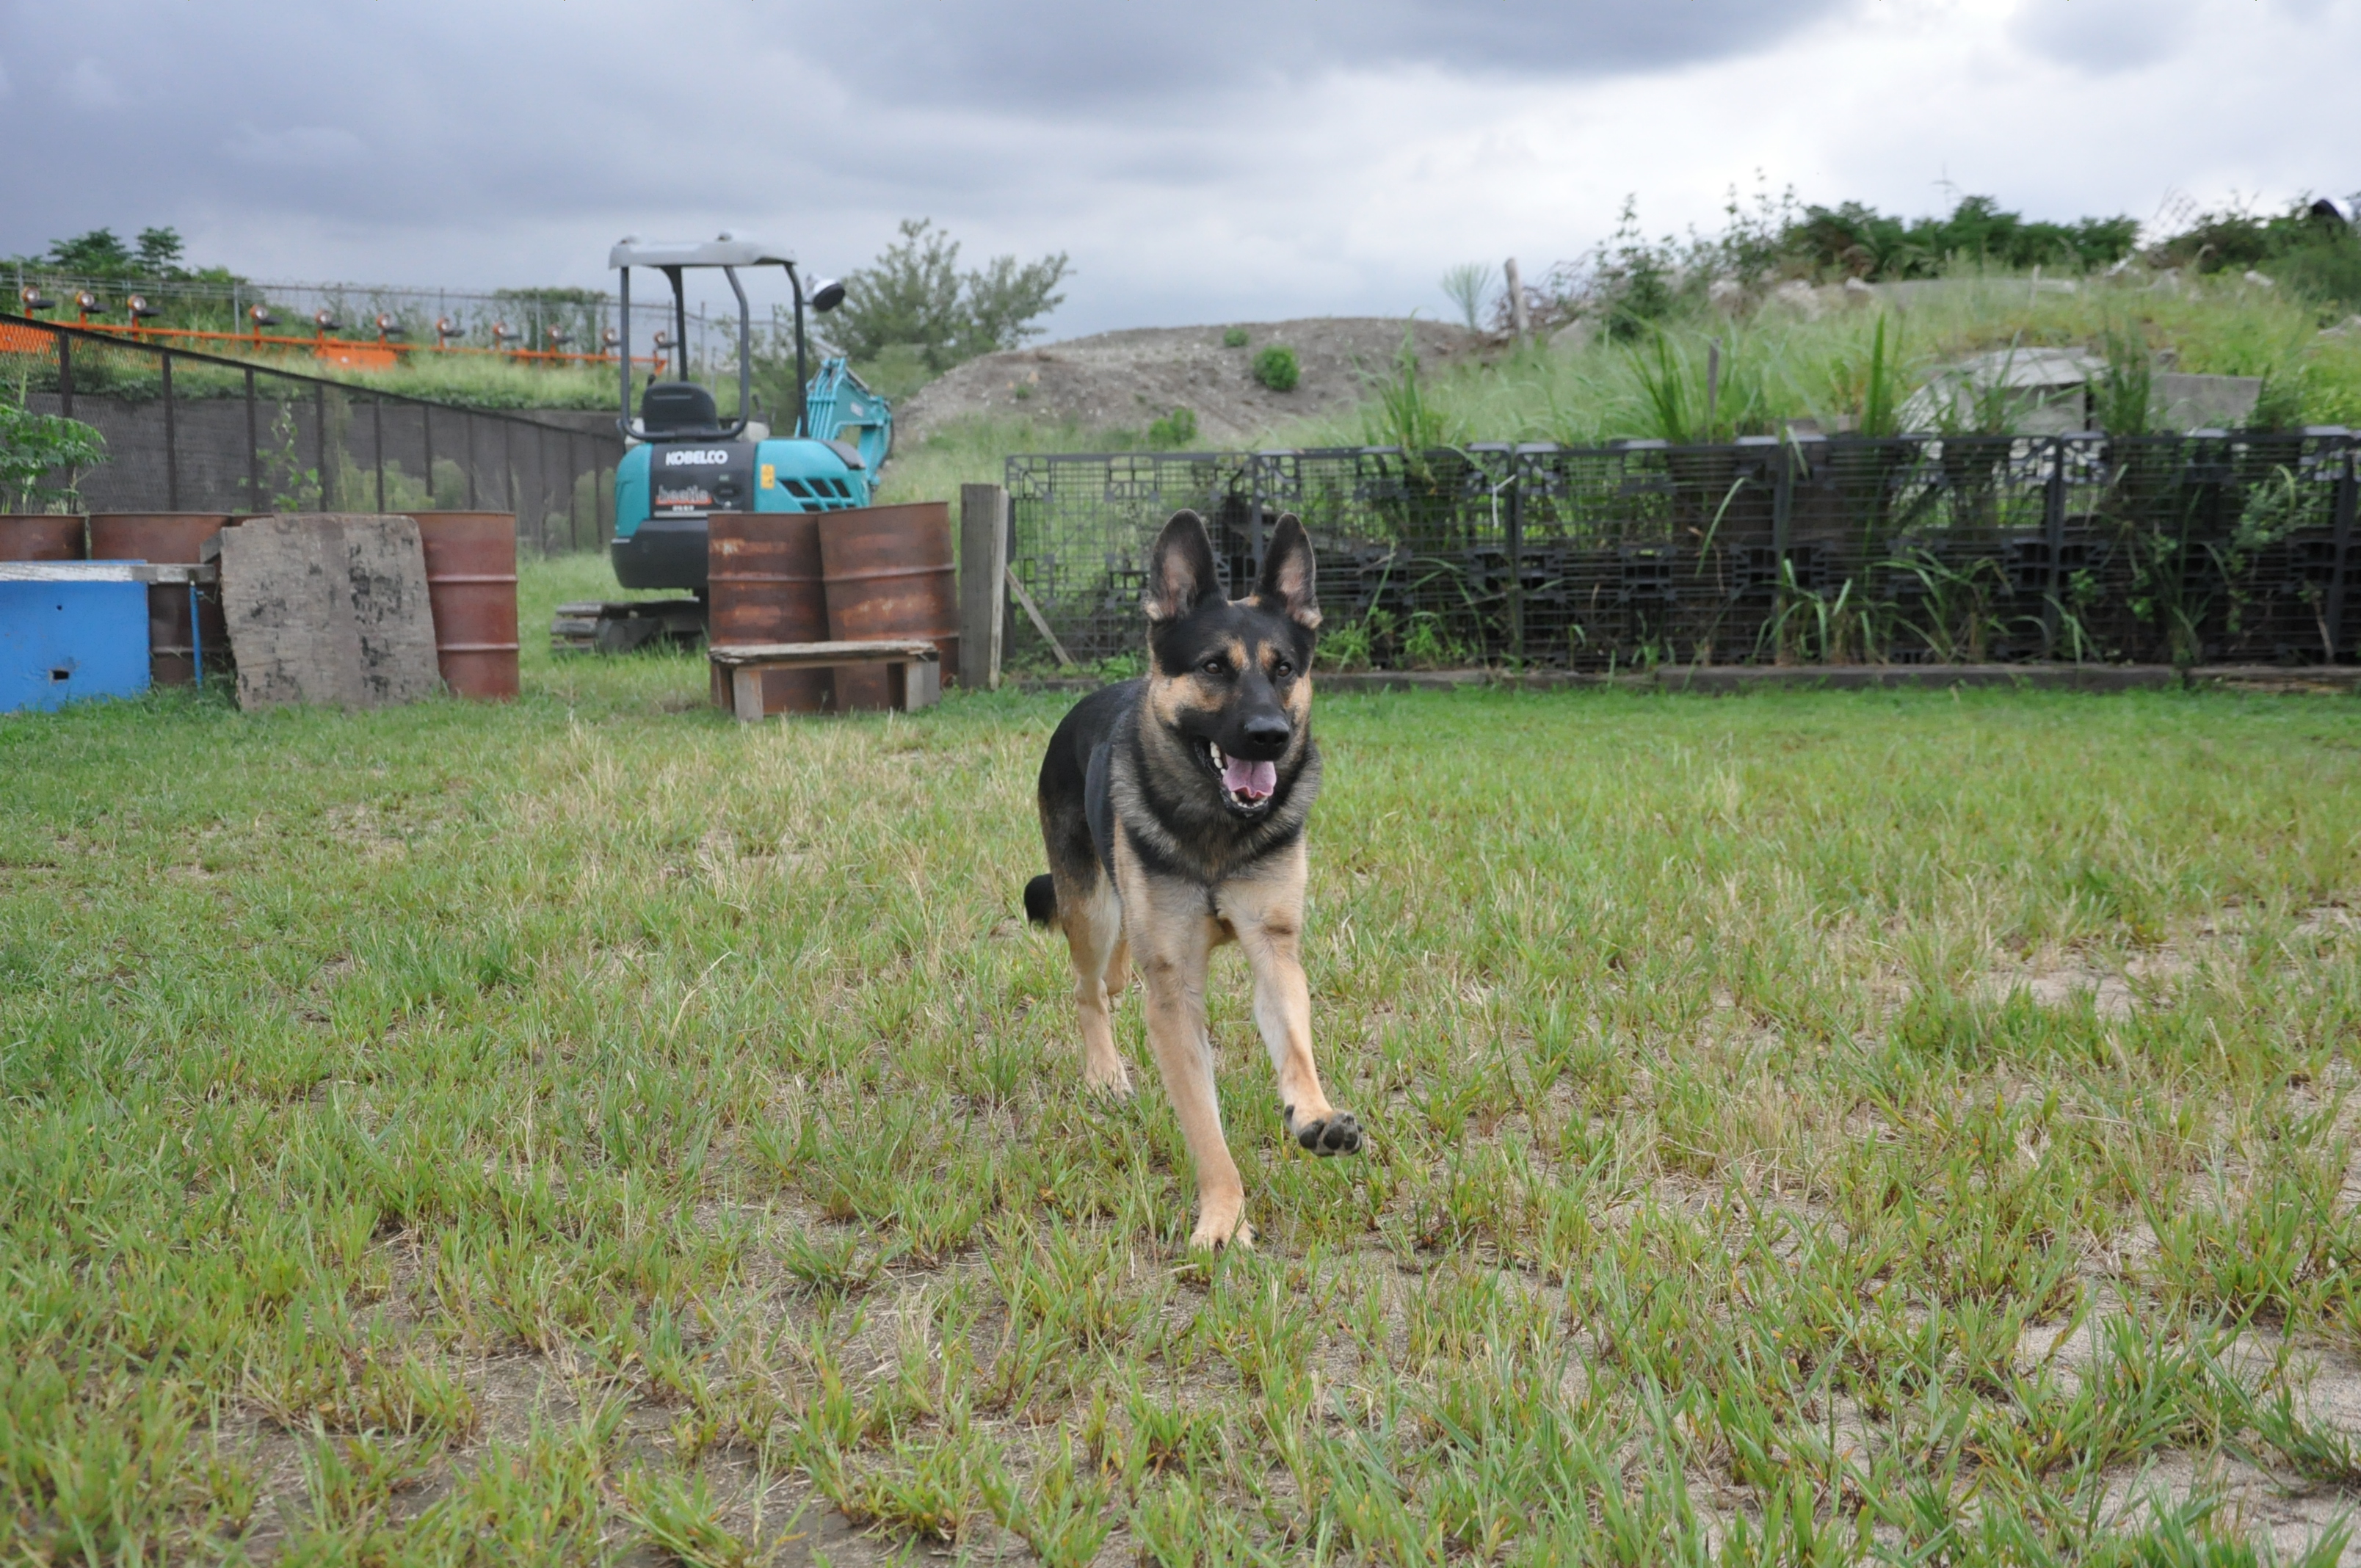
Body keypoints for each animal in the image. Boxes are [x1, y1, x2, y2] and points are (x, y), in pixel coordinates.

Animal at [1020, 515, 1369, 1246]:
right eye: (1214, 667)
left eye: (1284, 669)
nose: (1270, 735)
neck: (1219, 829)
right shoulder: (1174, 990)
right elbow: (1206, 1131)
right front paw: (1224, 1219)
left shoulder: (1274, 948)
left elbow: (1296, 1048)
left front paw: (1315, 1115)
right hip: (1089, 909)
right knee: (1088, 990)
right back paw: (1105, 1075)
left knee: (1115, 974)